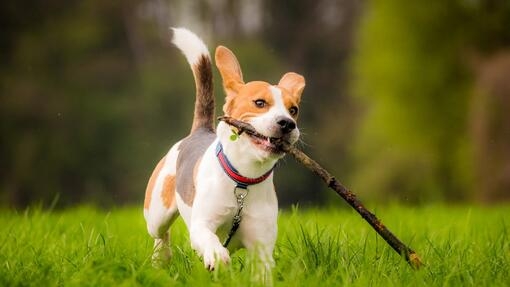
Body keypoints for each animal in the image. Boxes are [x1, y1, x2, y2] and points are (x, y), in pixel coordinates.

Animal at [141, 28, 304, 274]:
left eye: (293, 110)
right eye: (259, 103)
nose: (287, 123)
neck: (244, 180)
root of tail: (200, 130)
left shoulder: (262, 247)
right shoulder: (201, 225)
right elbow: (208, 237)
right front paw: (217, 255)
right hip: (157, 212)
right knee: (161, 234)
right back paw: (161, 258)